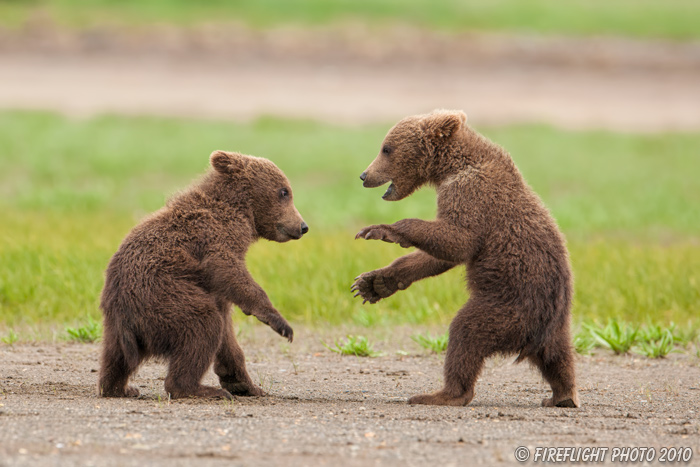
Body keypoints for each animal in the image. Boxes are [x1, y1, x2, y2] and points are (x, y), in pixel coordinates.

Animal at [98, 152, 306, 400]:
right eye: (284, 191)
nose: (303, 226)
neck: (242, 212)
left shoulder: (215, 286)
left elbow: (228, 336)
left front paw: (245, 384)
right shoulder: (214, 238)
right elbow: (229, 271)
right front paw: (280, 323)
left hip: (117, 323)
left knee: (115, 356)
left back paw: (121, 388)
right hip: (162, 296)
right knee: (202, 323)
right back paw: (199, 389)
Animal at [350, 110, 580, 410]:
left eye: (386, 148)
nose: (364, 175)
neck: (450, 167)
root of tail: (535, 335)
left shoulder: (472, 194)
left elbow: (458, 239)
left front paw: (383, 230)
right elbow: (438, 257)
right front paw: (372, 283)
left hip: (506, 306)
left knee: (465, 335)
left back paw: (441, 394)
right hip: (557, 325)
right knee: (560, 358)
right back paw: (562, 396)